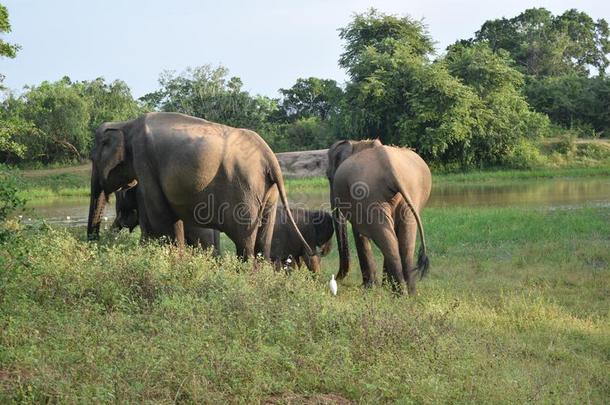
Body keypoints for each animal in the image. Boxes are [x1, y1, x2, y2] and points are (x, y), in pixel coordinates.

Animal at [86, 111, 308, 258]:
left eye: (93, 159)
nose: (94, 245)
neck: (126, 124)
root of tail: (270, 157)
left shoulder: (145, 163)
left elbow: (161, 218)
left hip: (245, 192)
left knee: (244, 242)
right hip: (269, 194)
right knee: (262, 243)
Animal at [326, 139, 430, 294]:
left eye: (328, 176)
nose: (337, 279)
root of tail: (390, 167)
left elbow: (359, 233)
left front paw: (369, 287)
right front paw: (380, 286)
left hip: (370, 194)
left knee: (388, 240)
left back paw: (400, 293)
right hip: (409, 191)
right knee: (403, 242)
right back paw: (408, 293)